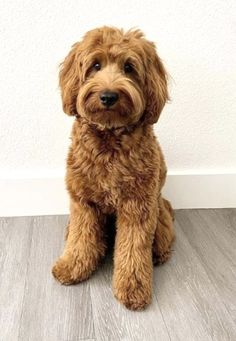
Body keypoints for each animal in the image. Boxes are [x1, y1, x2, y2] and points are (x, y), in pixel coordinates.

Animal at [53, 25, 175, 308]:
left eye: (129, 67)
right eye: (95, 65)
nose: (108, 96)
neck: (109, 135)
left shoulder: (138, 205)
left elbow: (132, 248)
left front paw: (133, 288)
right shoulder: (83, 201)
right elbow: (81, 237)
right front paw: (72, 266)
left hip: (159, 211)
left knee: (161, 238)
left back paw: (159, 254)